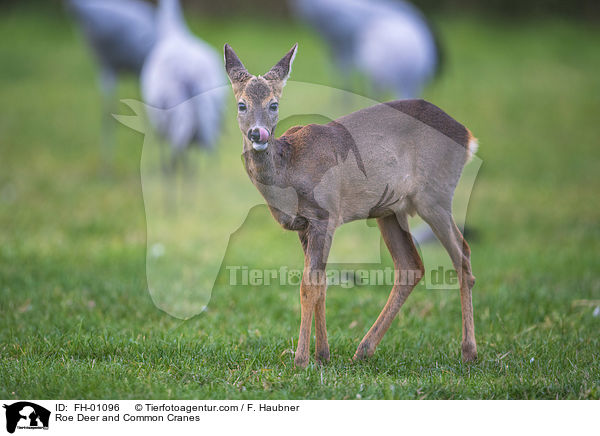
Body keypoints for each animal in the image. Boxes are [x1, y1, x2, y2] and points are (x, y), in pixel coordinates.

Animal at [224, 42, 478, 368]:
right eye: (241, 104)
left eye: (274, 104)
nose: (258, 134)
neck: (289, 169)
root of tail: (468, 137)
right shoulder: (304, 226)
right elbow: (320, 284)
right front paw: (322, 355)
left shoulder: (325, 215)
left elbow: (309, 285)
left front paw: (301, 359)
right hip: (389, 209)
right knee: (410, 266)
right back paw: (364, 349)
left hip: (435, 196)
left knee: (462, 255)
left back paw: (469, 351)